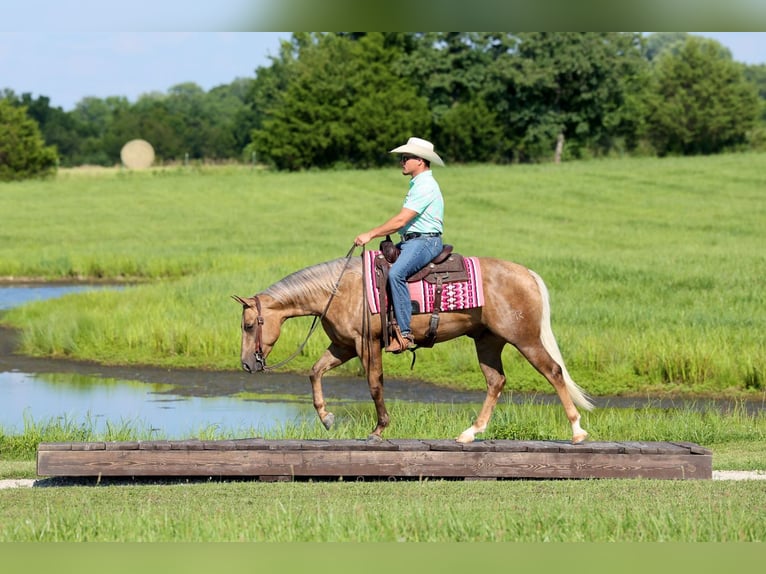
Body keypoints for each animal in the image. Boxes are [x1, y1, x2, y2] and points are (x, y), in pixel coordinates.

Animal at [233, 254, 593, 444]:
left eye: (248, 325)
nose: (248, 364)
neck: (338, 289)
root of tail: (527, 274)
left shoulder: (365, 344)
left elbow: (374, 383)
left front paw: (378, 429)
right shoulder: (343, 345)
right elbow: (315, 372)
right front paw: (327, 418)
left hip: (525, 339)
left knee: (553, 372)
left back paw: (577, 431)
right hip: (488, 341)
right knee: (496, 381)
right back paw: (469, 433)